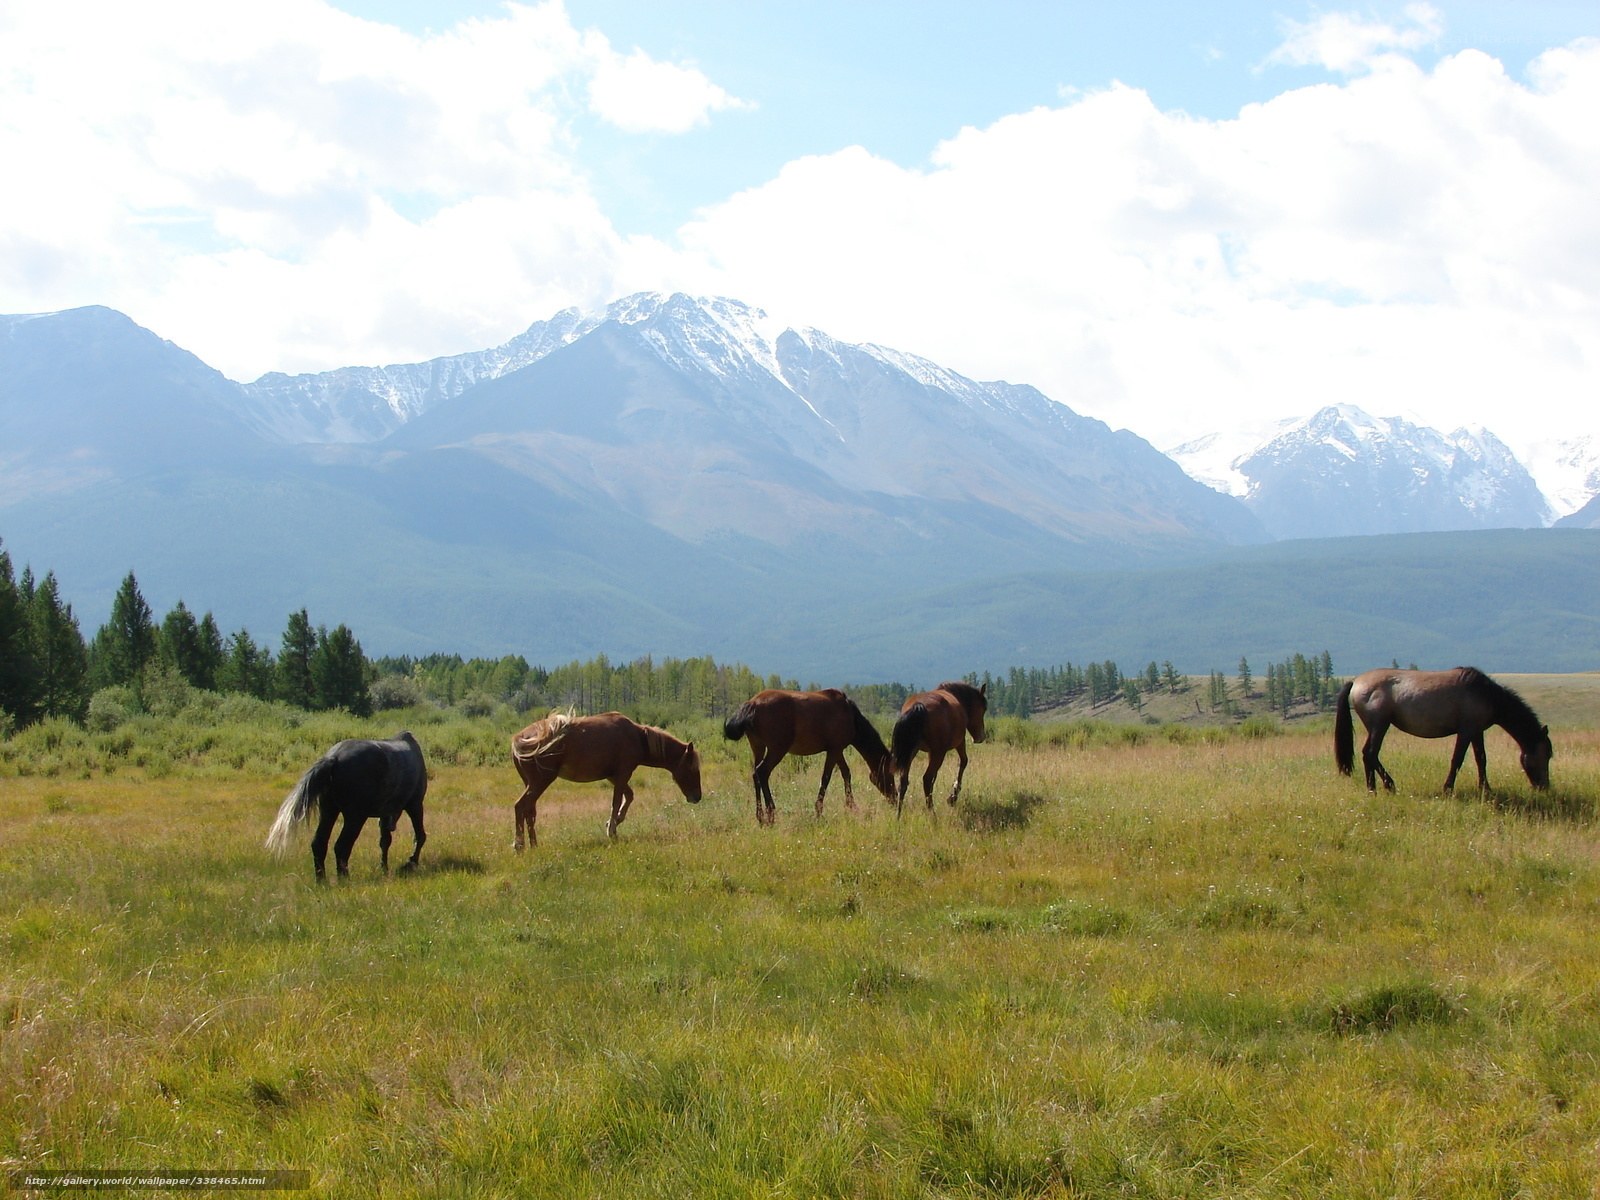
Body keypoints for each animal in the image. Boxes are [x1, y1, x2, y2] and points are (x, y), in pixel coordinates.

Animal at [265, 731, 428, 881]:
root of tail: (334, 758)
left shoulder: (385, 814)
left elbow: (385, 841)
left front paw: (384, 868)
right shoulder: (415, 805)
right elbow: (419, 836)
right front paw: (410, 863)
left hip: (328, 811)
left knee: (319, 843)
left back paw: (322, 881)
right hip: (355, 817)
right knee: (342, 846)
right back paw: (344, 879)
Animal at [511, 711, 701, 848]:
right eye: (692, 768)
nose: (697, 797)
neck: (638, 737)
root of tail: (519, 740)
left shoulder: (613, 776)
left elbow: (628, 797)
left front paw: (614, 821)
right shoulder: (623, 774)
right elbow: (617, 802)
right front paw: (612, 831)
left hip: (530, 783)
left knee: (529, 810)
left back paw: (534, 845)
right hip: (540, 782)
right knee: (521, 806)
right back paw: (519, 845)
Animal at [722, 688, 894, 825]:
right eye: (890, 776)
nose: (894, 798)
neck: (851, 717)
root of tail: (751, 704)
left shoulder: (837, 750)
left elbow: (846, 773)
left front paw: (852, 805)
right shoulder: (834, 749)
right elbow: (826, 778)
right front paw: (818, 811)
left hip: (757, 746)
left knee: (755, 774)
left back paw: (760, 816)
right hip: (777, 748)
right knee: (762, 772)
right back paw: (771, 814)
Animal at [891, 681, 988, 814]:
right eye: (983, 709)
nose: (980, 737)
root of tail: (918, 707)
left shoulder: (930, 752)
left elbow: (934, 778)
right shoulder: (959, 743)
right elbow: (963, 762)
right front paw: (953, 796)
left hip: (911, 753)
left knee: (903, 781)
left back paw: (898, 814)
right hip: (938, 753)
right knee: (926, 779)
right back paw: (932, 813)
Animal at [1335, 667, 1552, 794]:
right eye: (1546, 755)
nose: (1544, 787)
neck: (1486, 695)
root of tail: (1356, 681)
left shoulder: (1477, 732)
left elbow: (1481, 759)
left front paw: (1486, 790)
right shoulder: (1466, 731)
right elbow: (1457, 759)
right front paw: (1448, 788)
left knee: (1369, 755)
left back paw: (1379, 787)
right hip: (1379, 726)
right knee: (1370, 754)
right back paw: (1381, 787)